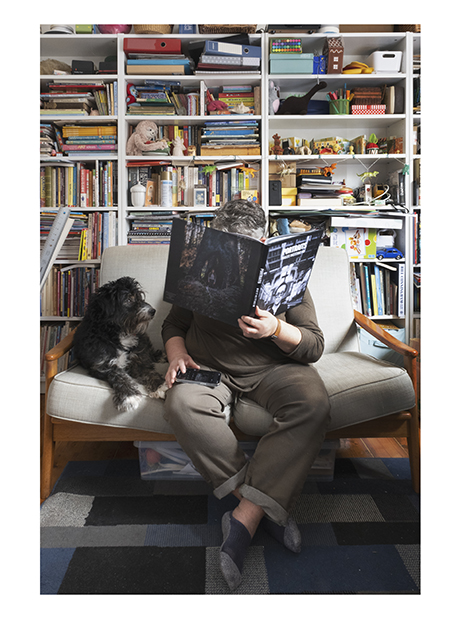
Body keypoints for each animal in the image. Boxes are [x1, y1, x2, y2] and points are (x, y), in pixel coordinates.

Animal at [73, 278, 167, 412]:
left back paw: (160, 356)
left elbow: (149, 371)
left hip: (143, 339)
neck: (119, 332)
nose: (153, 311)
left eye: (139, 296)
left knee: (148, 352)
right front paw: (129, 397)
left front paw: (160, 385)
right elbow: (120, 376)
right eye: (128, 299)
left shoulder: (138, 360)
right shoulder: (103, 366)